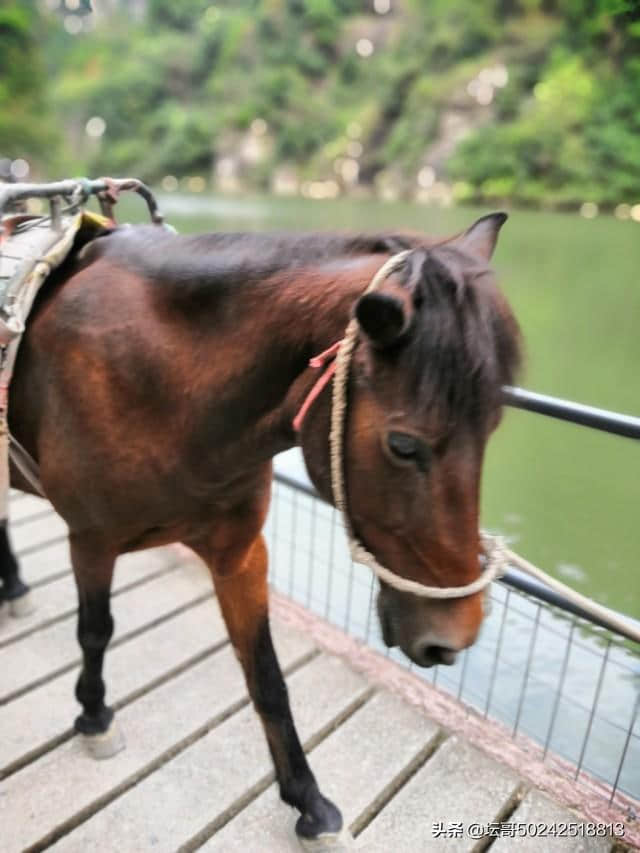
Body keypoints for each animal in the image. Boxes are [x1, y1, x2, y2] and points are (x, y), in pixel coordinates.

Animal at [0, 215, 520, 844]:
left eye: (491, 428)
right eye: (403, 445)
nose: (453, 636)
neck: (166, 384)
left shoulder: (239, 552)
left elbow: (267, 677)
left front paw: (308, 801)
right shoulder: (91, 540)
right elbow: (96, 631)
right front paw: (95, 715)